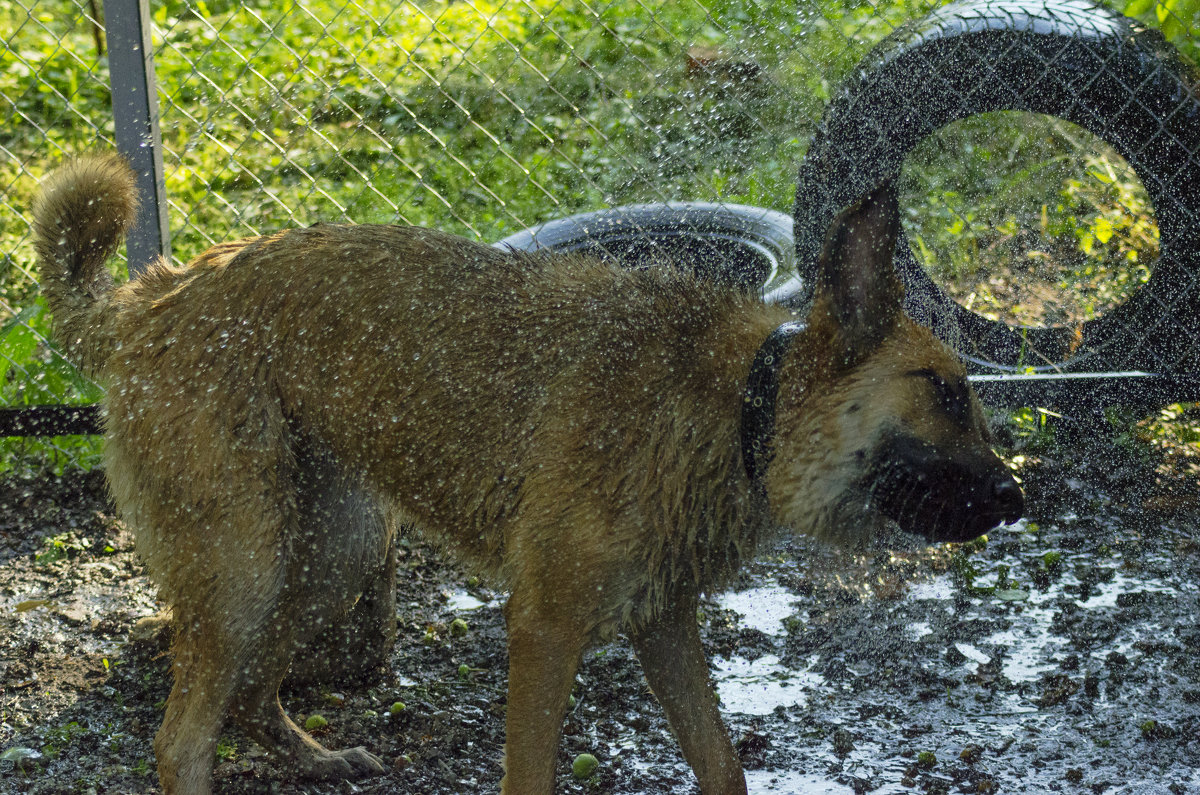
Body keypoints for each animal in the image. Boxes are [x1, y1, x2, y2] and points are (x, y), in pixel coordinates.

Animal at [32, 153, 1017, 795]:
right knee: (180, 743)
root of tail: (146, 299)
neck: (741, 400)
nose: (1017, 498)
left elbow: (724, 764)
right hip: (246, 567)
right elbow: (534, 774)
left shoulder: (662, 623)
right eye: (946, 390)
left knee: (244, 698)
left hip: (330, 553)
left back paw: (317, 758)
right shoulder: (547, 626)